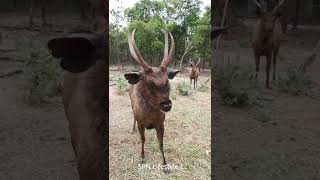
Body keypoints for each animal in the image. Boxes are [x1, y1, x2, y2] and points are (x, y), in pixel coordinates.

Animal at [123, 29, 180, 173]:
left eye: (168, 82)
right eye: (149, 84)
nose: (166, 105)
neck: (150, 117)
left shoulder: (161, 123)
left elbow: (161, 144)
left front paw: (165, 166)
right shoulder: (141, 123)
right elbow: (143, 139)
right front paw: (142, 158)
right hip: (131, 105)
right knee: (133, 116)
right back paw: (132, 130)